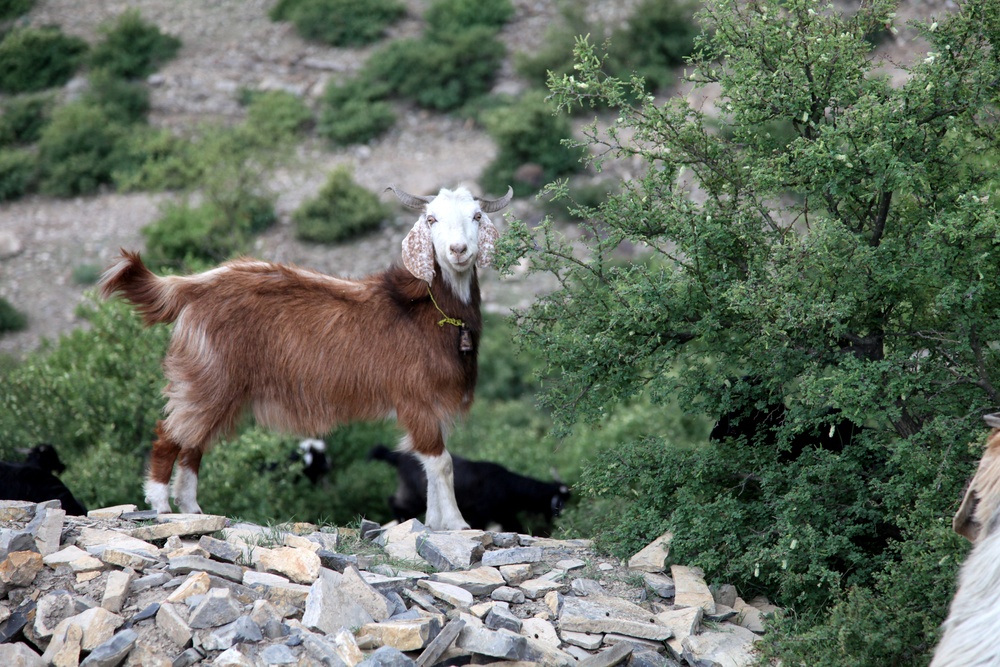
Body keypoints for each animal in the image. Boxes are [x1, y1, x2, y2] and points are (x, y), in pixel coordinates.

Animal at [97, 185, 512, 528]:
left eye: (477, 216)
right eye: (431, 219)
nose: (458, 251)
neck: (427, 311)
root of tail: (191, 286)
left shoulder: (433, 406)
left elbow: (430, 465)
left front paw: (436, 523)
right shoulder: (416, 399)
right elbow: (442, 463)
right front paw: (457, 525)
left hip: (216, 386)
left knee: (193, 444)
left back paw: (192, 508)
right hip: (208, 377)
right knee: (170, 434)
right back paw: (160, 504)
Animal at [368, 446, 572, 536]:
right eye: (560, 502)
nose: (560, 518)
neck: (506, 485)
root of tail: (397, 457)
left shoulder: (502, 514)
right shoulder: (486, 513)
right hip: (414, 495)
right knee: (395, 503)